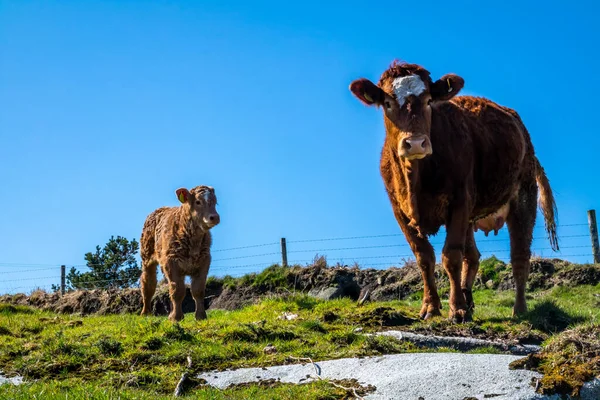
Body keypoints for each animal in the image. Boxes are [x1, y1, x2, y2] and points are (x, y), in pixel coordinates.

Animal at [141, 185, 220, 322]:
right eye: (198, 202)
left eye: (215, 202)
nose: (214, 217)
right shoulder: (171, 262)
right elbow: (177, 291)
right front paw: (176, 317)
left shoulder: (204, 261)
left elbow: (198, 290)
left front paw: (200, 316)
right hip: (147, 258)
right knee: (148, 283)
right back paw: (146, 313)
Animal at [346, 60, 556, 322]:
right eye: (387, 103)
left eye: (428, 101)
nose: (416, 143)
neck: (415, 181)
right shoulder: (400, 211)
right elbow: (424, 256)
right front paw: (431, 306)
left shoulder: (460, 201)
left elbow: (451, 256)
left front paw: (456, 309)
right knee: (473, 256)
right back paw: (470, 301)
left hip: (523, 196)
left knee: (519, 256)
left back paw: (519, 309)